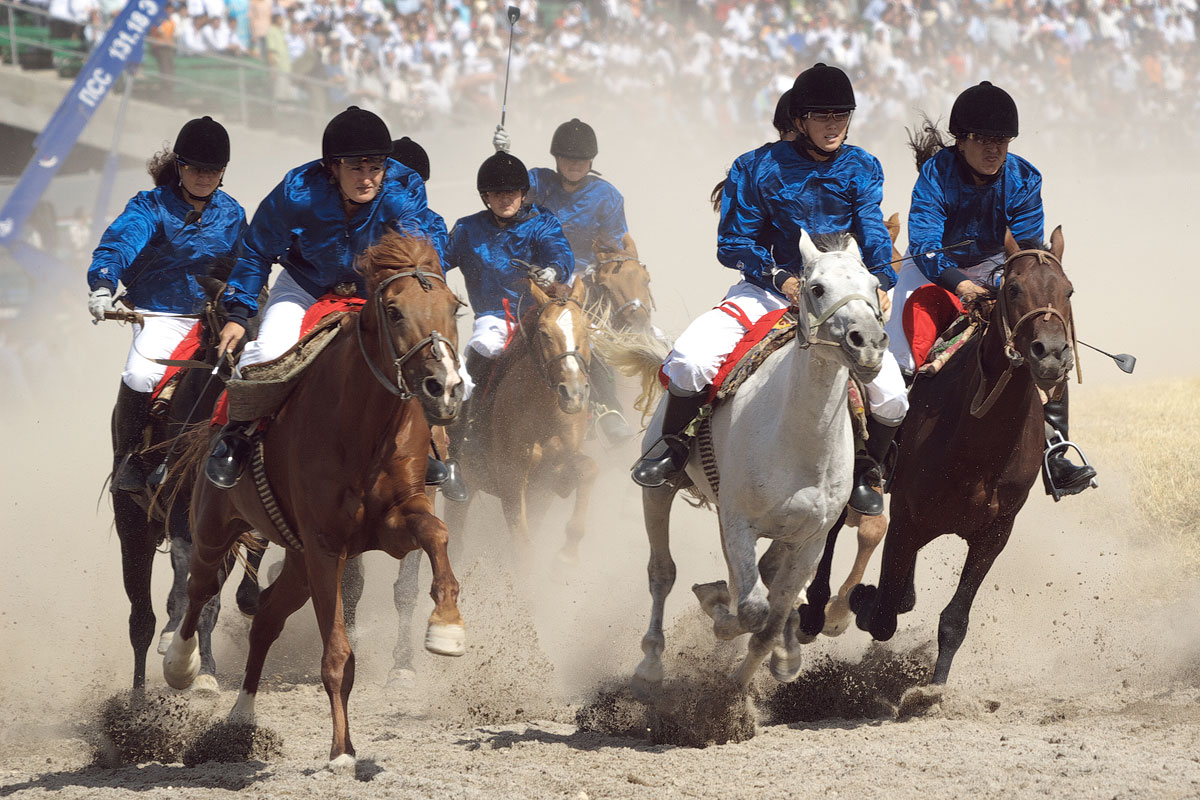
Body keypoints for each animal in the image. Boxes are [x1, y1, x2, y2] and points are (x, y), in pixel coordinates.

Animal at [166, 232, 465, 767]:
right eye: (393, 311)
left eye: (454, 306)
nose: (445, 387)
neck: (362, 429)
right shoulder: (327, 546)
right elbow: (337, 655)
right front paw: (342, 750)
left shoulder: (391, 523)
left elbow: (435, 533)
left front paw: (447, 626)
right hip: (214, 527)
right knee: (200, 587)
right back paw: (182, 667)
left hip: (298, 562)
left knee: (266, 616)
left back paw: (242, 715)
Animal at [633, 232, 888, 695]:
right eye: (816, 288)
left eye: (874, 285)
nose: (870, 343)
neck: (798, 444)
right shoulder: (739, 523)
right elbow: (751, 610)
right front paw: (717, 611)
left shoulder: (811, 540)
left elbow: (767, 622)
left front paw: (748, 681)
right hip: (659, 491)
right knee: (662, 571)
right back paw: (651, 664)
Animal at [849, 225, 1084, 695]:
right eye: (1013, 288)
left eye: (1068, 290)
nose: (1051, 353)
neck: (978, 447)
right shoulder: (906, 520)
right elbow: (884, 614)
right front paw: (863, 601)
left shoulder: (994, 533)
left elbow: (953, 620)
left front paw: (933, 692)